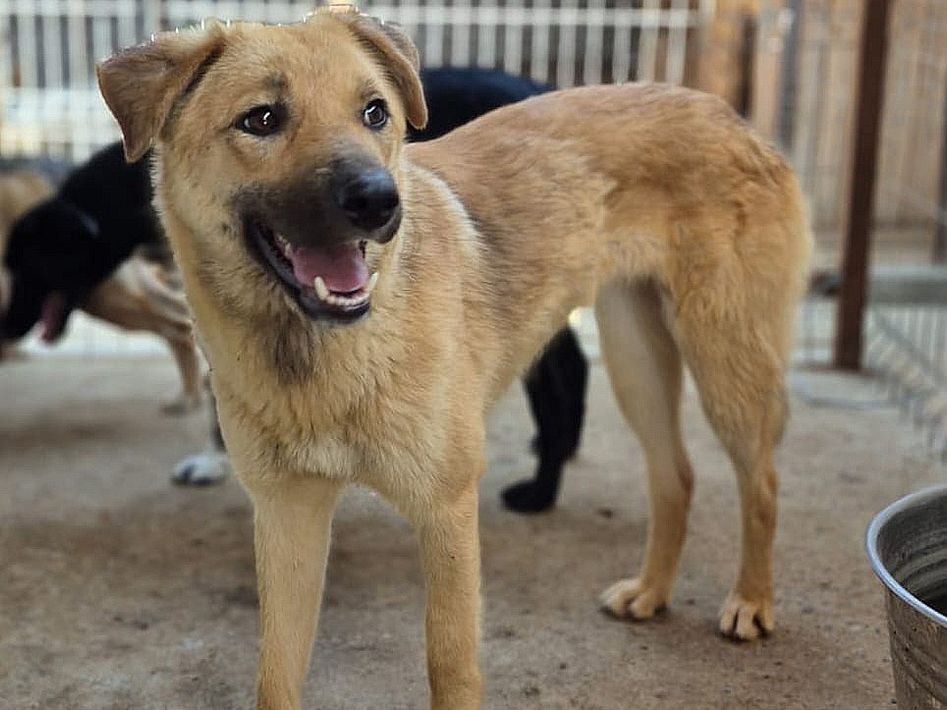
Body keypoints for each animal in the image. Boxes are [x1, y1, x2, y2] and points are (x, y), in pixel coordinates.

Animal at [98, 9, 812, 708]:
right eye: (262, 119)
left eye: (375, 113)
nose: (381, 202)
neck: (322, 352)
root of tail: (726, 113)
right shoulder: (287, 517)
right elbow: (276, 677)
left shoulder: (445, 511)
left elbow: (449, 665)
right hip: (636, 360)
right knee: (676, 475)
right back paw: (652, 591)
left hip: (724, 362)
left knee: (764, 481)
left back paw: (751, 601)